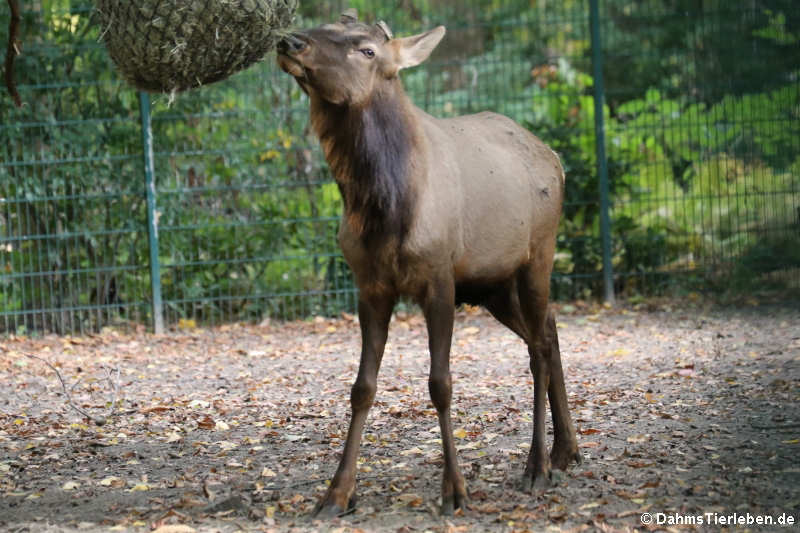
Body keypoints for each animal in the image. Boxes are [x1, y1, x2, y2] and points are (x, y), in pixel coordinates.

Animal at [278, 8, 580, 516]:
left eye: (367, 49)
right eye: (322, 26)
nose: (289, 41)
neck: (383, 209)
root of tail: (556, 159)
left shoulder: (439, 279)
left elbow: (441, 383)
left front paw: (454, 489)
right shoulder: (371, 286)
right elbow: (362, 387)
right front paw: (336, 493)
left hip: (538, 254)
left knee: (539, 346)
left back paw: (537, 465)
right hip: (493, 285)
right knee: (549, 330)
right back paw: (567, 450)